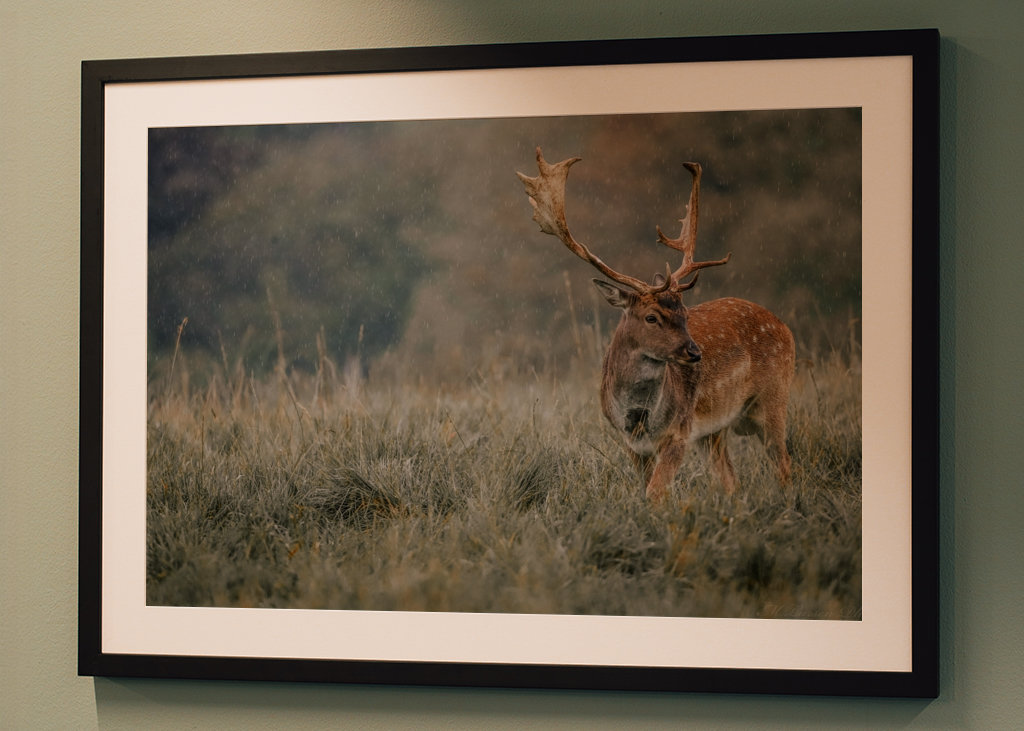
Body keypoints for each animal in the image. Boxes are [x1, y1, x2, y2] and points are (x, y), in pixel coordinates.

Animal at [517, 147, 795, 502]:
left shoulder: (679, 432)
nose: (694, 353)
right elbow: (646, 490)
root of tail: (783, 326)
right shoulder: (632, 444)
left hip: (773, 399)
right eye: (651, 317)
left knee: (784, 465)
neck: (638, 418)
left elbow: (655, 494)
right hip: (715, 430)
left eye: (685, 313)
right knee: (732, 481)